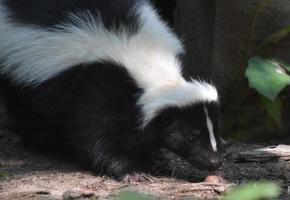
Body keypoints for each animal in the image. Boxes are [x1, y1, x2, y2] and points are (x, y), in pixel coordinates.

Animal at [0, 0, 223, 180]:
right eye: (191, 137)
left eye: (215, 132)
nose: (215, 162)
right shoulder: (97, 89)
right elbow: (96, 139)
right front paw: (130, 172)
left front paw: (152, 159)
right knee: (25, 111)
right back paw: (39, 143)